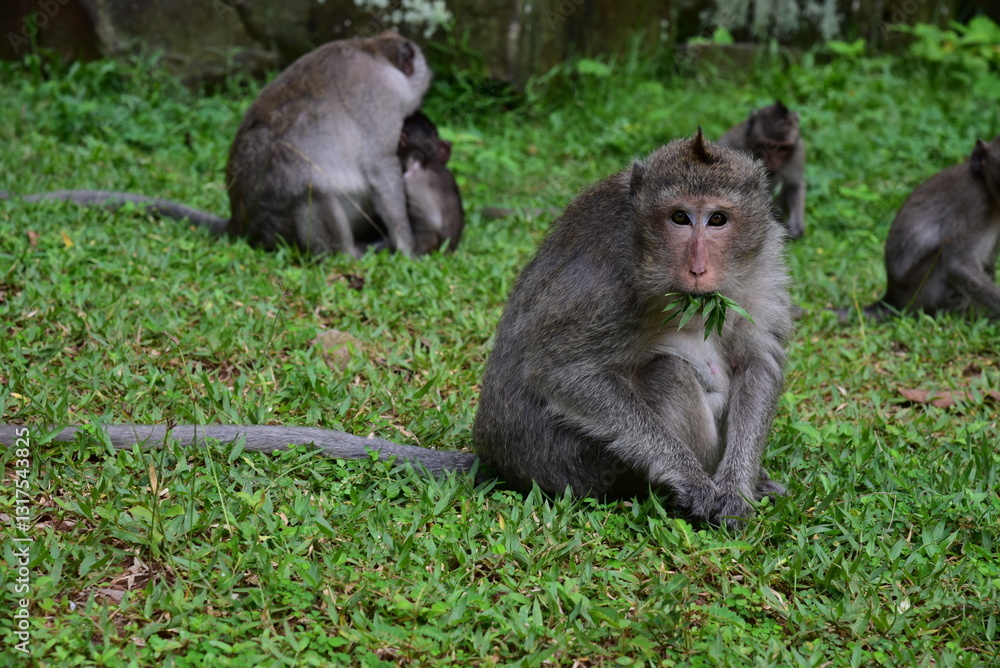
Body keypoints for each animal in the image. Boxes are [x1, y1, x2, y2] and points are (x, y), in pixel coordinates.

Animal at [0, 132, 793, 530]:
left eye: (717, 218)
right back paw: (670, 493)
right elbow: (560, 370)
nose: (698, 265)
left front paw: (736, 485)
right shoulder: (615, 286)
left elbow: (757, 361)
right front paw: (697, 486)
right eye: (678, 218)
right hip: (574, 467)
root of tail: (495, 460)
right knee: (665, 374)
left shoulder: (761, 262)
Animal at [2, 32, 445, 257]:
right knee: (309, 187)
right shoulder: (379, 107)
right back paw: (346, 255)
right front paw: (408, 248)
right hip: (282, 222)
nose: (428, 80)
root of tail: (240, 223)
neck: (375, 54)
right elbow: (382, 173)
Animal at [718, 100, 807, 239]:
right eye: (769, 145)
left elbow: (795, 184)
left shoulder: (797, 152)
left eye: (783, 149)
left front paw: (796, 225)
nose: (773, 162)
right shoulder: (731, 143)